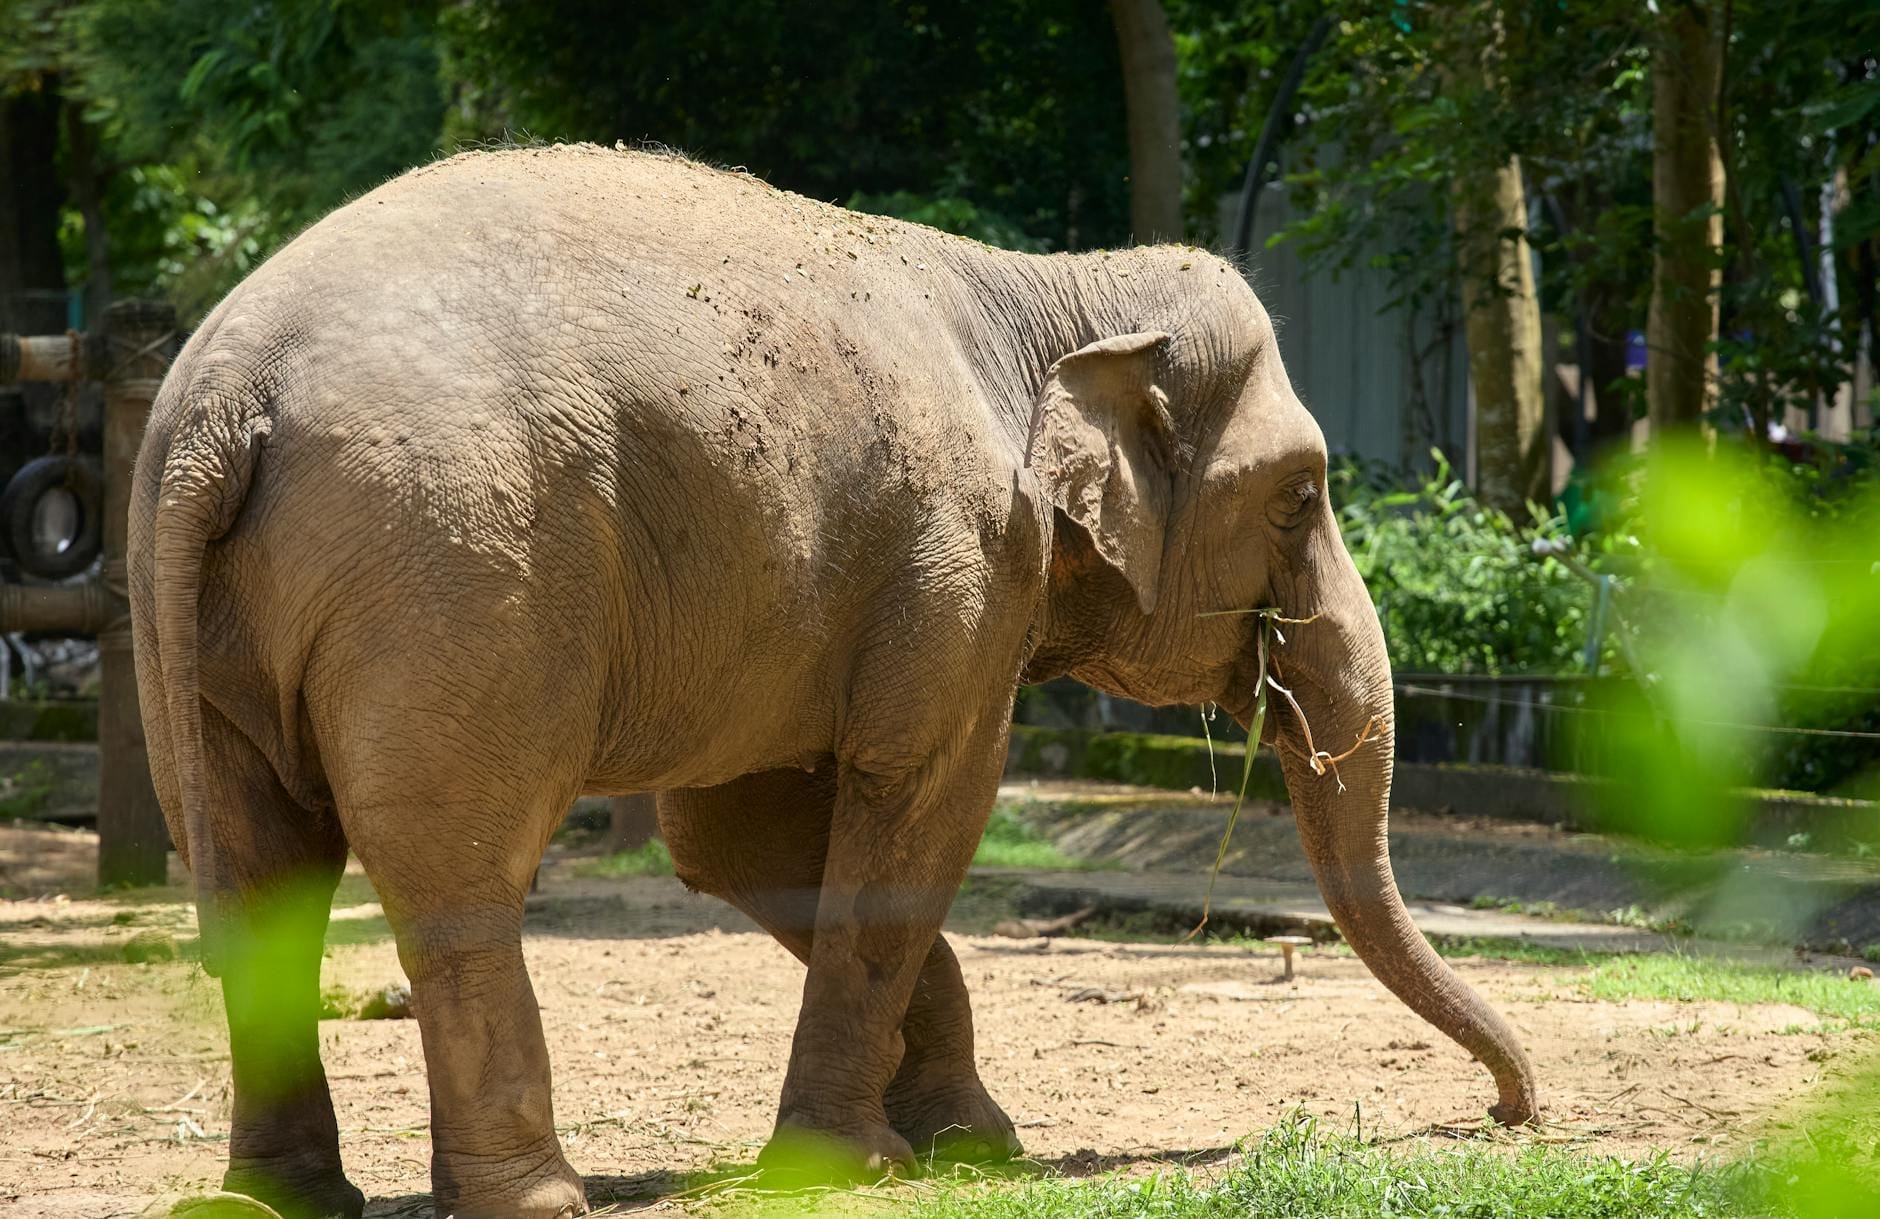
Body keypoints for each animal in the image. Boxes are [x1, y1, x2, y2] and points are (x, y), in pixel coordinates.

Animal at [129, 144, 1538, 1219]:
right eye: (1300, 495)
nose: (1507, 1111)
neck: (1053, 293)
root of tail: (225, 391)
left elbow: (731, 834)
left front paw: (972, 1143)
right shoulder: (964, 559)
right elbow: (928, 800)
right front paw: (853, 1166)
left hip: (203, 616)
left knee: (257, 869)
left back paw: (278, 1200)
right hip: (455, 573)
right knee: (459, 870)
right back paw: (535, 1199)